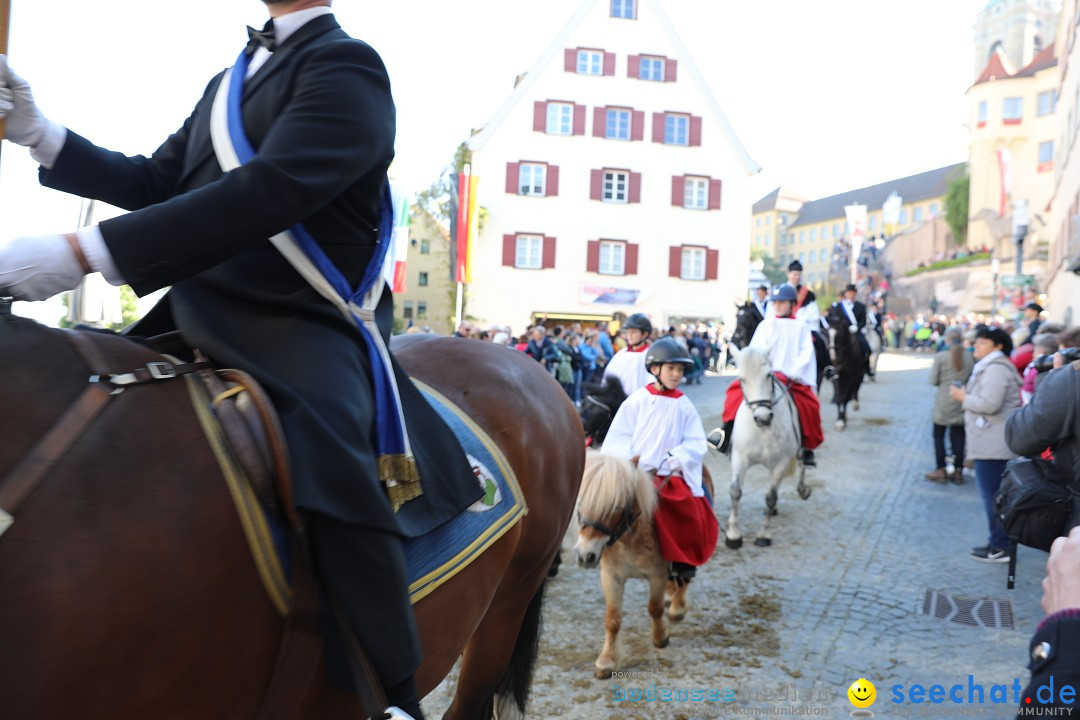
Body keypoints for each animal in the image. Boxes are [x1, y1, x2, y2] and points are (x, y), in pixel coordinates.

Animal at [570, 453, 712, 677]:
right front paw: (607, 660)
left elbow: (654, 608)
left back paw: (677, 607)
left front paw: (660, 637)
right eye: (582, 500)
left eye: (616, 506)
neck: (631, 536)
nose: (585, 555)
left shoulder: (657, 575)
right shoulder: (611, 576)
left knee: (684, 577)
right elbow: (613, 619)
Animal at [725, 345, 812, 548]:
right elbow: (735, 491)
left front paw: (764, 535)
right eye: (742, 379)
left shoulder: (780, 463)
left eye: (769, 375)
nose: (763, 417)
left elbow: (770, 497)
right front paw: (733, 535)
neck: (763, 430)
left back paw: (802, 489)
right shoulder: (739, 458)